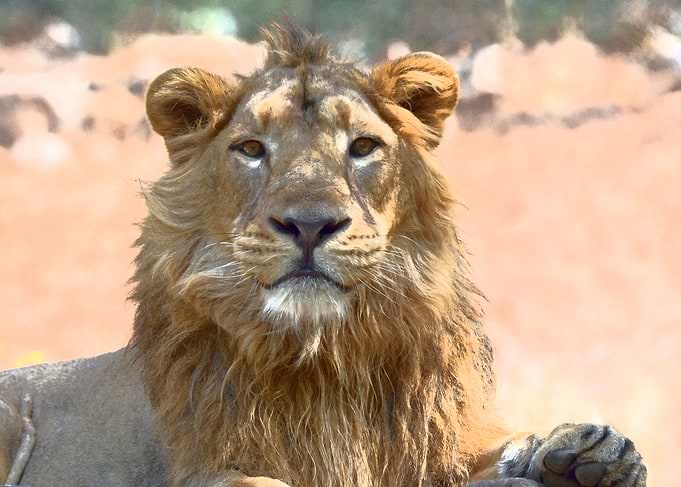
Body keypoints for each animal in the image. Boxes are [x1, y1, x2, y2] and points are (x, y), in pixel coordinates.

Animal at [0, 25, 645, 487]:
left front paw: (583, 454)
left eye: (362, 147)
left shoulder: (436, 439)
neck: (323, 356)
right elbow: (259, 481)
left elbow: (488, 452)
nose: (309, 224)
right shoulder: (199, 466)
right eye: (251, 149)